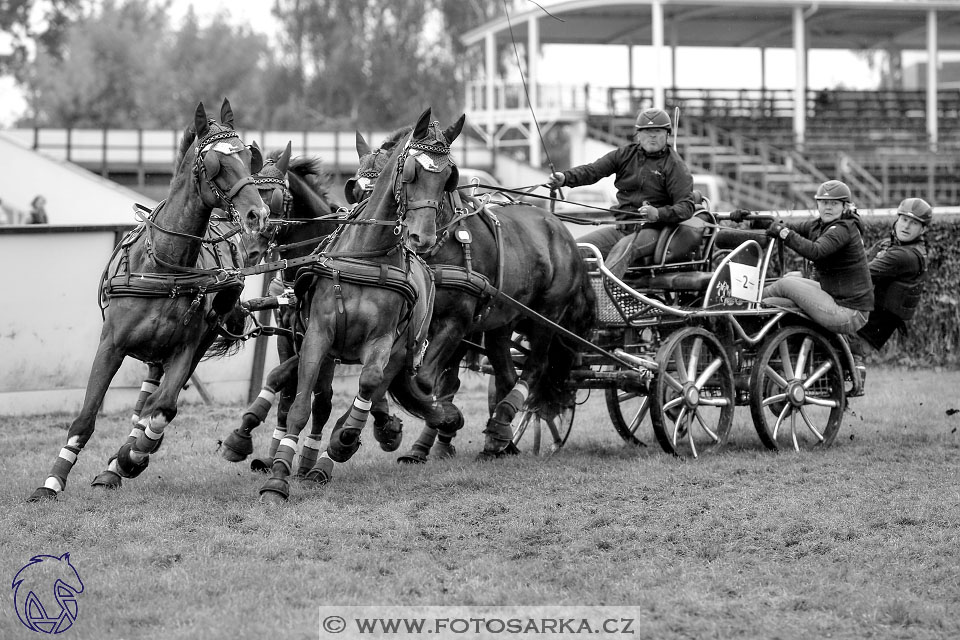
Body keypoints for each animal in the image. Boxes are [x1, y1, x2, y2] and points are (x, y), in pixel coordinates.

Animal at [28, 100, 268, 502]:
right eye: (215, 163)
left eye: (249, 157)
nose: (259, 214)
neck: (164, 265)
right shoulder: (111, 345)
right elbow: (86, 416)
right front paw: (52, 481)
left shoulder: (186, 347)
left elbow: (163, 408)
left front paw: (130, 456)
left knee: (152, 404)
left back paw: (126, 457)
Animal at [255, 107, 464, 502]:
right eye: (411, 172)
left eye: (448, 177)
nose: (423, 237)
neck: (366, 254)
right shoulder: (313, 335)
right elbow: (298, 402)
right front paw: (277, 474)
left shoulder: (381, 341)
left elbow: (366, 384)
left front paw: (342, 441)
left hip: (405, 348)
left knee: (373, 390)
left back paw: (337, 451)